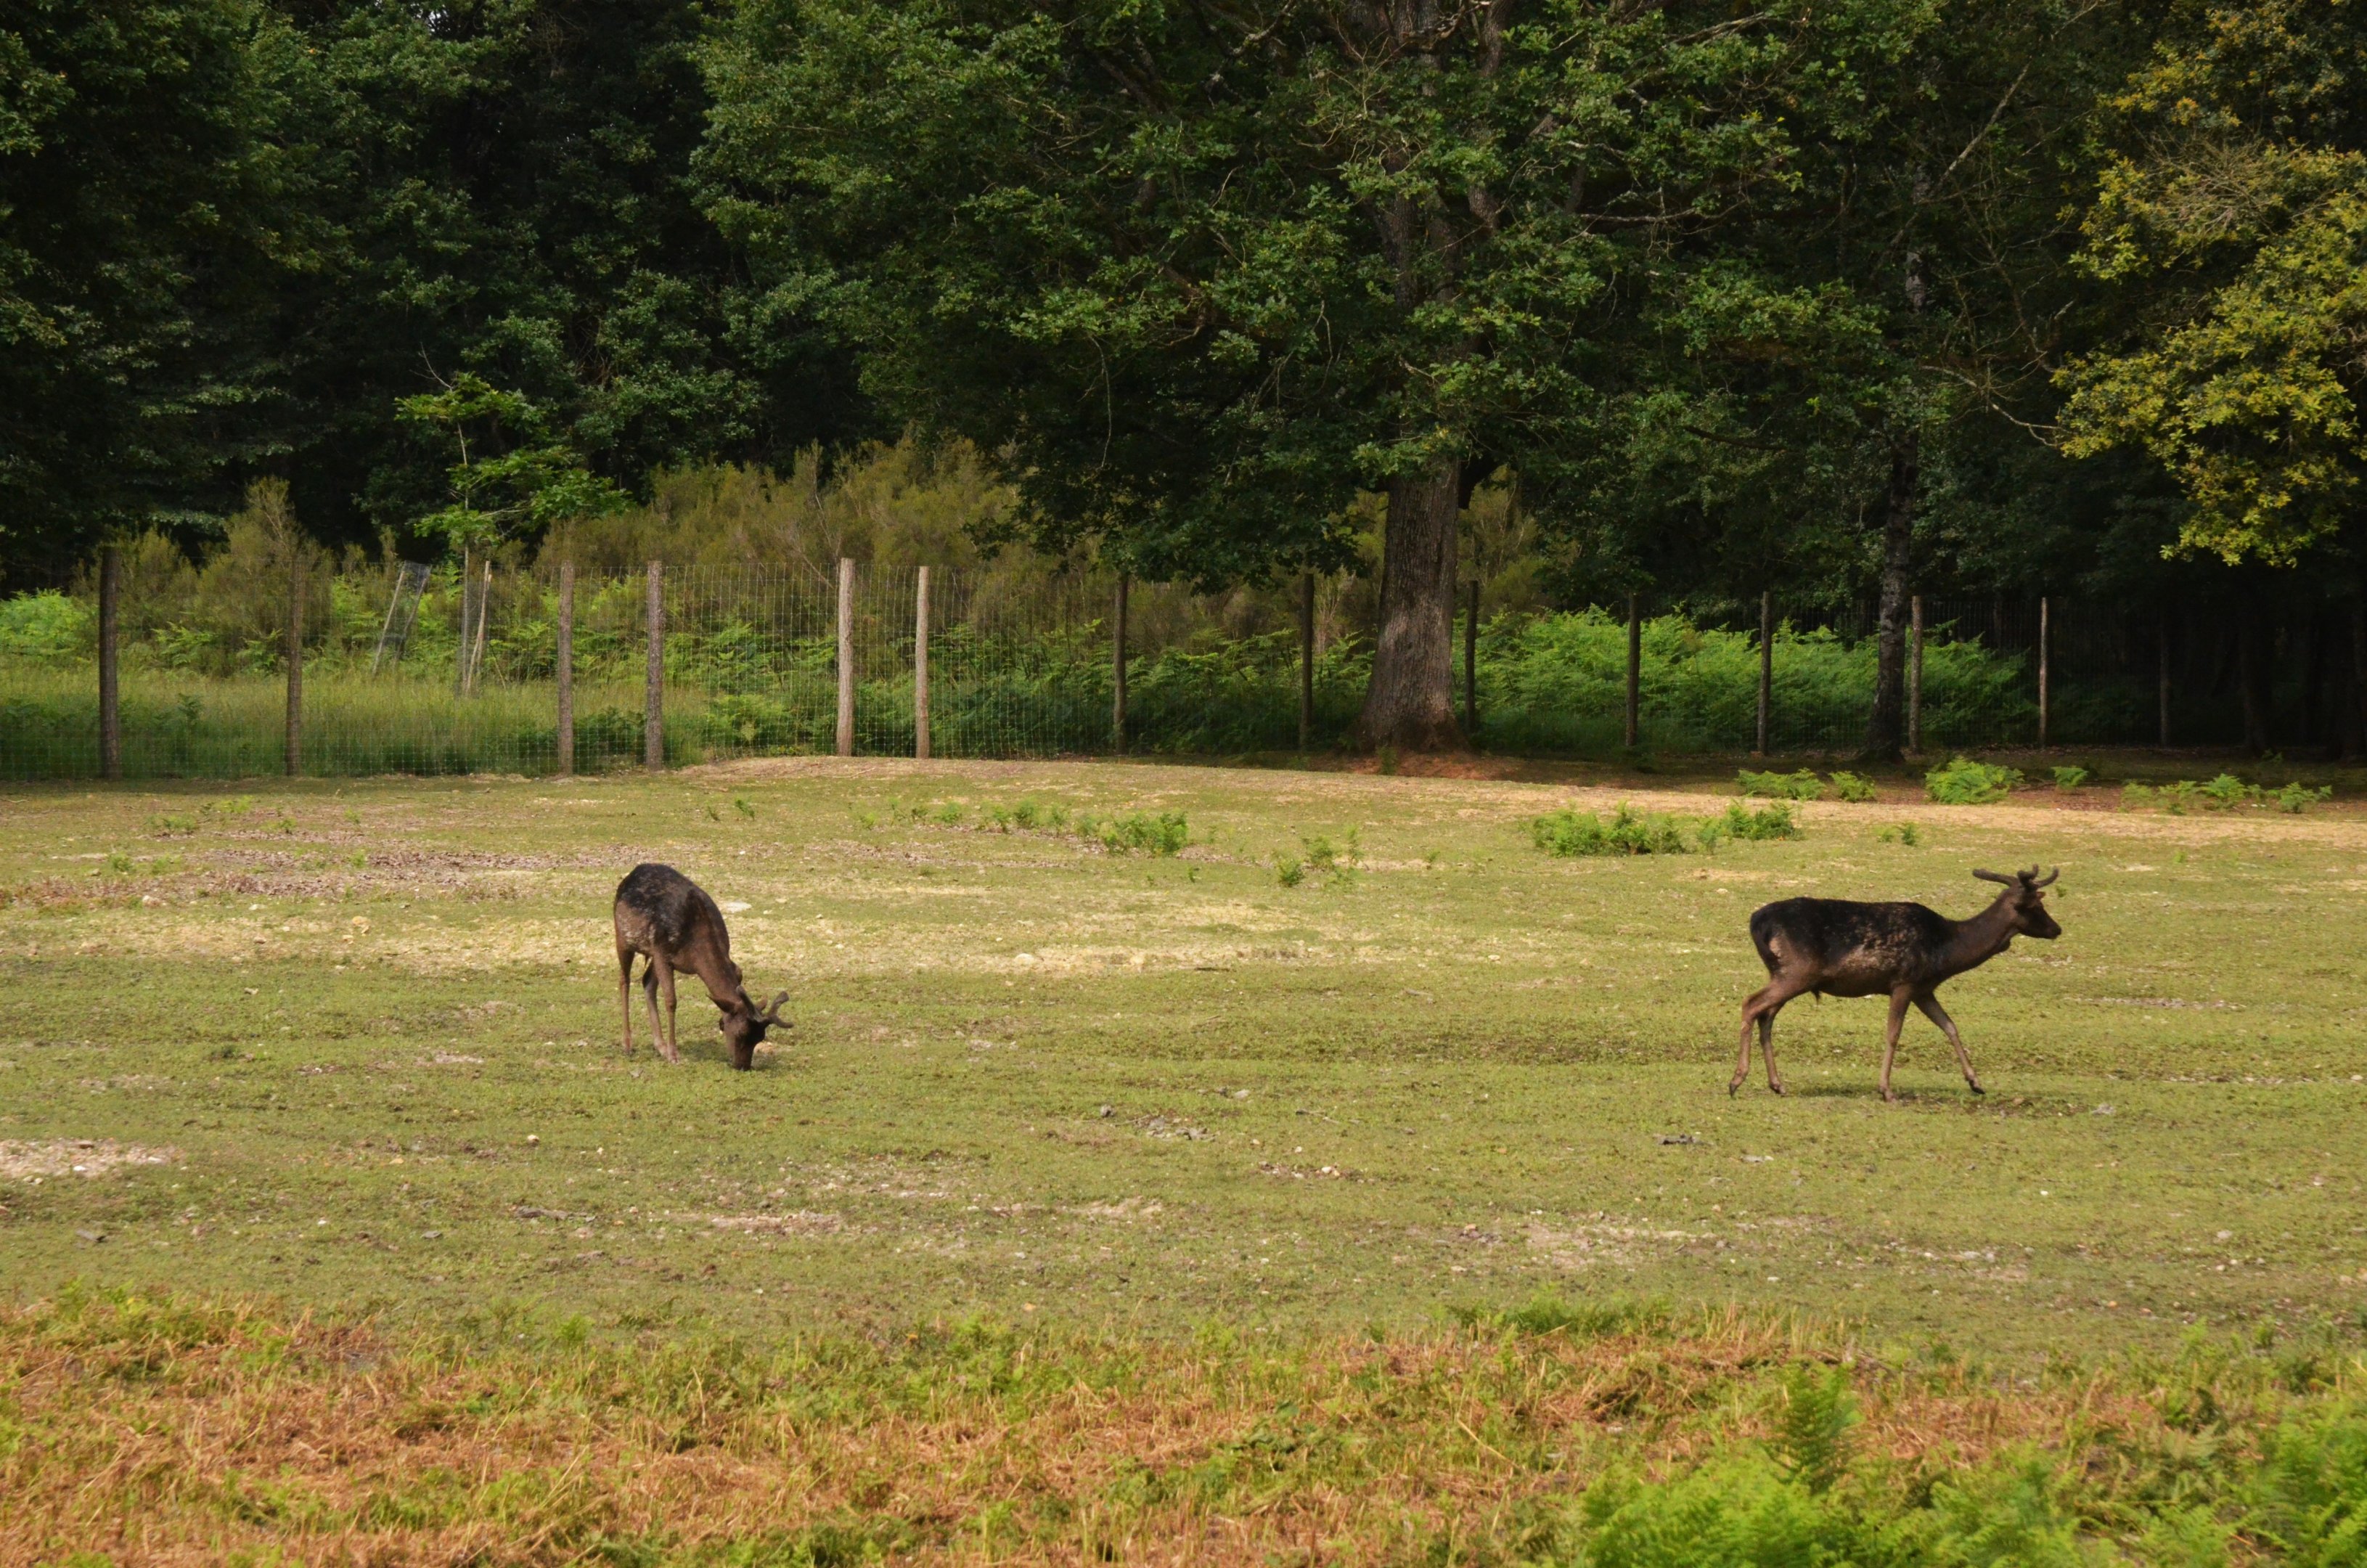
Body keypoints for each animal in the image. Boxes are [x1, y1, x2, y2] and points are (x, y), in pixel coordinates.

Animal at [613, 863, 789, 1070]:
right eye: (741, 1033)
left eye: (760, 1037)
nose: (743, 1065)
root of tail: (631, 875)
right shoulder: (662, 951)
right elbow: (671, 1001)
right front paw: (674, 1055)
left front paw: (667, 1050)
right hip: (623, 937)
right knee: (624, 981)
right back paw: (628, 1044)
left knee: (647, 982)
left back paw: (660, 1046)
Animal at [1733, 865, 2060, 1102]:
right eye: (2035, 906)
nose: (2057, 928)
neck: (1949, 951)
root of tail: (1757, 922)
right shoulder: (1904, 981)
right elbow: (1893, 1034)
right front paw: (1886, 1090)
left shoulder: (1924, 989)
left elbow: (1950, 1026)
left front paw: (1976, 1082)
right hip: (1797, 971)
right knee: (1751, 1003)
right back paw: (1737, 1080)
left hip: (1783, 972)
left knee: (1766, 1016)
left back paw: (1777, 1084)